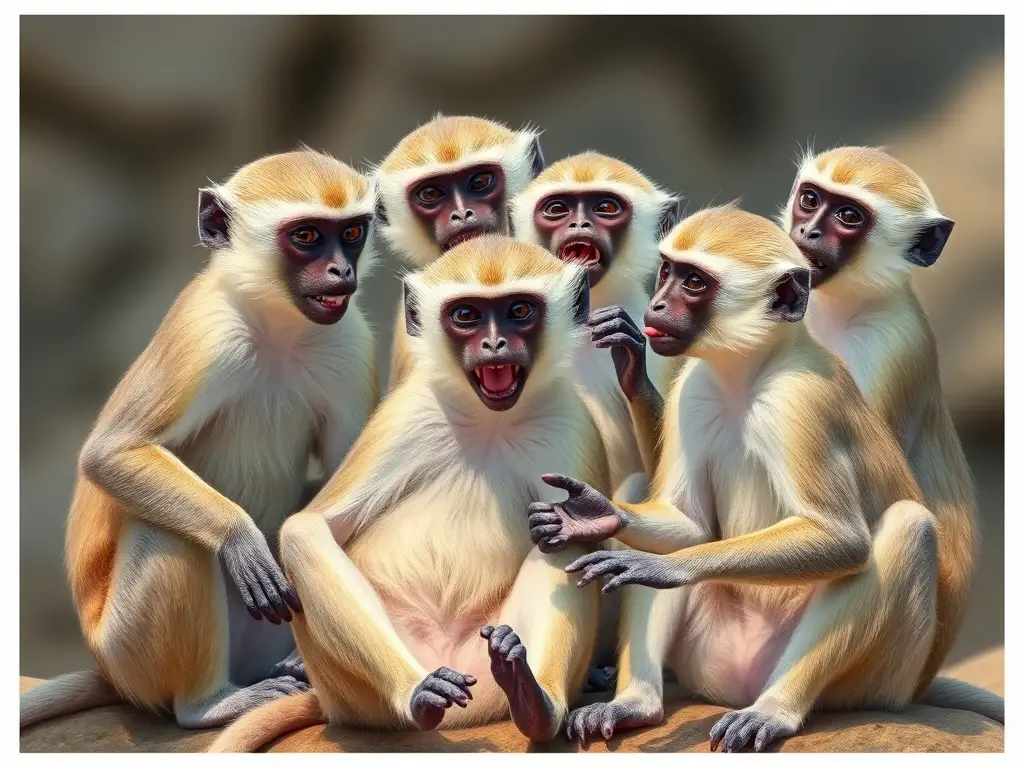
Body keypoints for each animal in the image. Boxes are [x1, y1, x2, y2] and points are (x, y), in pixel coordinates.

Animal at [20, 149, 381, 731]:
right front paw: (238, 536)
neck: (276, 326)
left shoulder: (349, 339)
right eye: (306, 236)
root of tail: (108, 668)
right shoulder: (207, 334)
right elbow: (110, 454)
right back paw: (207, 704)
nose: (341, 271)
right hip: (129, 650)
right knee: (168, 532)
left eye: (351, 232)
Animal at [206, 235, 610, 753]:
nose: (494, 343)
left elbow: (574, 530)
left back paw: (534, 702)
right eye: (467, 315)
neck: (490, 422)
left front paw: (580, 518)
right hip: (358, 692)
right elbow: (307, 530)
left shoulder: (570, 421)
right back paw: (423, 696)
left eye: (519, 310)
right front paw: (415, 692)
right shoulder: (410, 411)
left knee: (560, 542)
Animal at [524, 205, 1002, 752]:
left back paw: (775, 709)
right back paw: (636, 703)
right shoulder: (695, 387)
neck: (749, 376)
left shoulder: (798, 401)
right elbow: (687, 525)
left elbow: (841, 539)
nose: (659, 304)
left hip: (880, 681)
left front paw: (664, 567)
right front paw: (590, 516)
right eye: (667, 271)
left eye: (694, 282)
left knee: (908, 525)